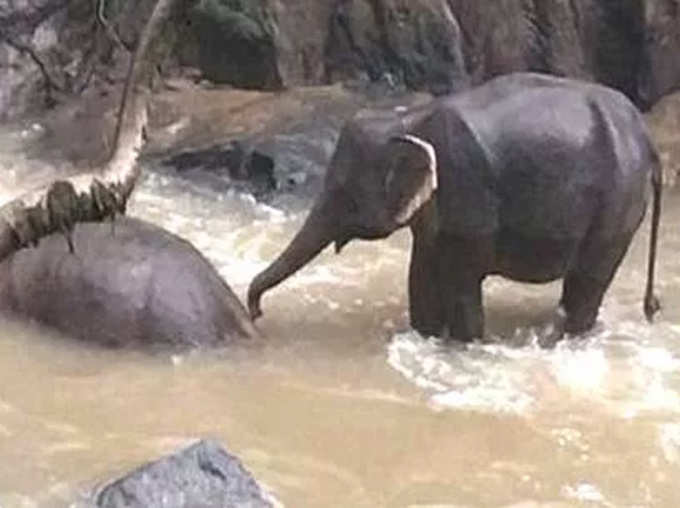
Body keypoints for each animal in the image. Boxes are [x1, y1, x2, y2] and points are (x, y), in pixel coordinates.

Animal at [247, 72, 660, 342]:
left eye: (343, 191)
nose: (256, 312)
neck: (406, 118)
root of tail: (647, 137)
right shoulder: (434, 212)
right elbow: (421, 274)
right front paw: (425, 335)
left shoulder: (467, 190)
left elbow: (462, 283)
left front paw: (466, 343)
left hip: (617, 204)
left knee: (588, 282)